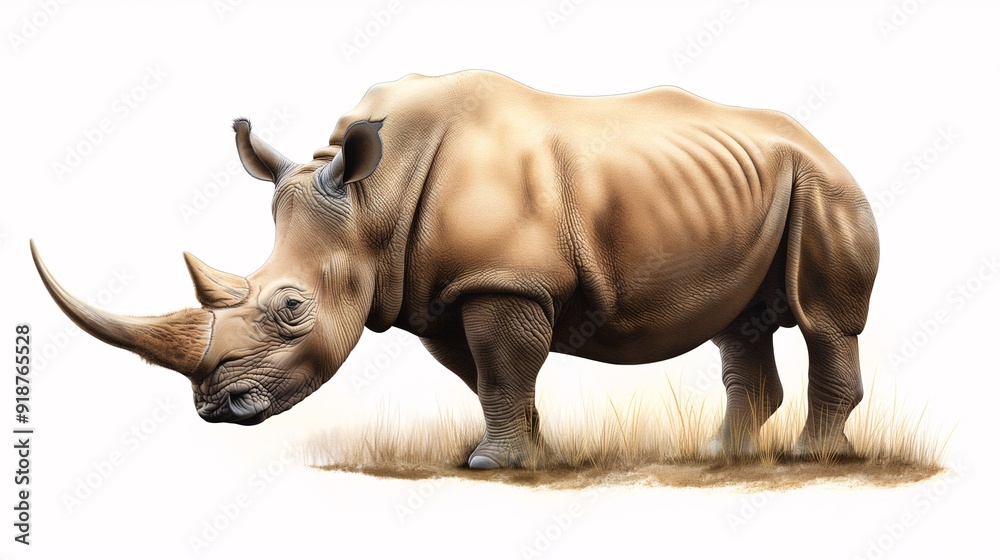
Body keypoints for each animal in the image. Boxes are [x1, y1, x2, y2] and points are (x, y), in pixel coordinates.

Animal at [32, 70, 878, 468]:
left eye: (291, 309)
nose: (215, 410)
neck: (370, 201)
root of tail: (822, 142)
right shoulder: (437, 292)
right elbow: (487, 376)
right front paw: (529, 456)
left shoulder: (502, 279)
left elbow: (503, 367)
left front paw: (490, 464)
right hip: (756, 186)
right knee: (739, 327)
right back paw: (720, 454)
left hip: (824, 186)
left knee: (824, 320)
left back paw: (812, 457)